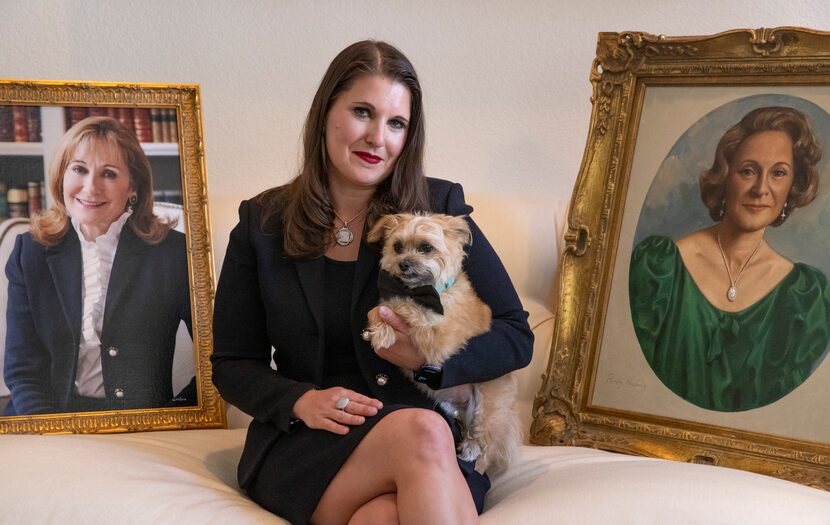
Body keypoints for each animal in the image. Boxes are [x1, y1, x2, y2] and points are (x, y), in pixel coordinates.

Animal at [364, 211, 520, 472]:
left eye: (426, 247)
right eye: (397, 247)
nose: (403, 263)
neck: (427, 290)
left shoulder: (440, 341)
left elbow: (404, 306)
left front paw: (387, 326)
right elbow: (380, 309)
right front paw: (379, 329)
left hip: (486, 407)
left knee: (486, 449)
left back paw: (473, 455)